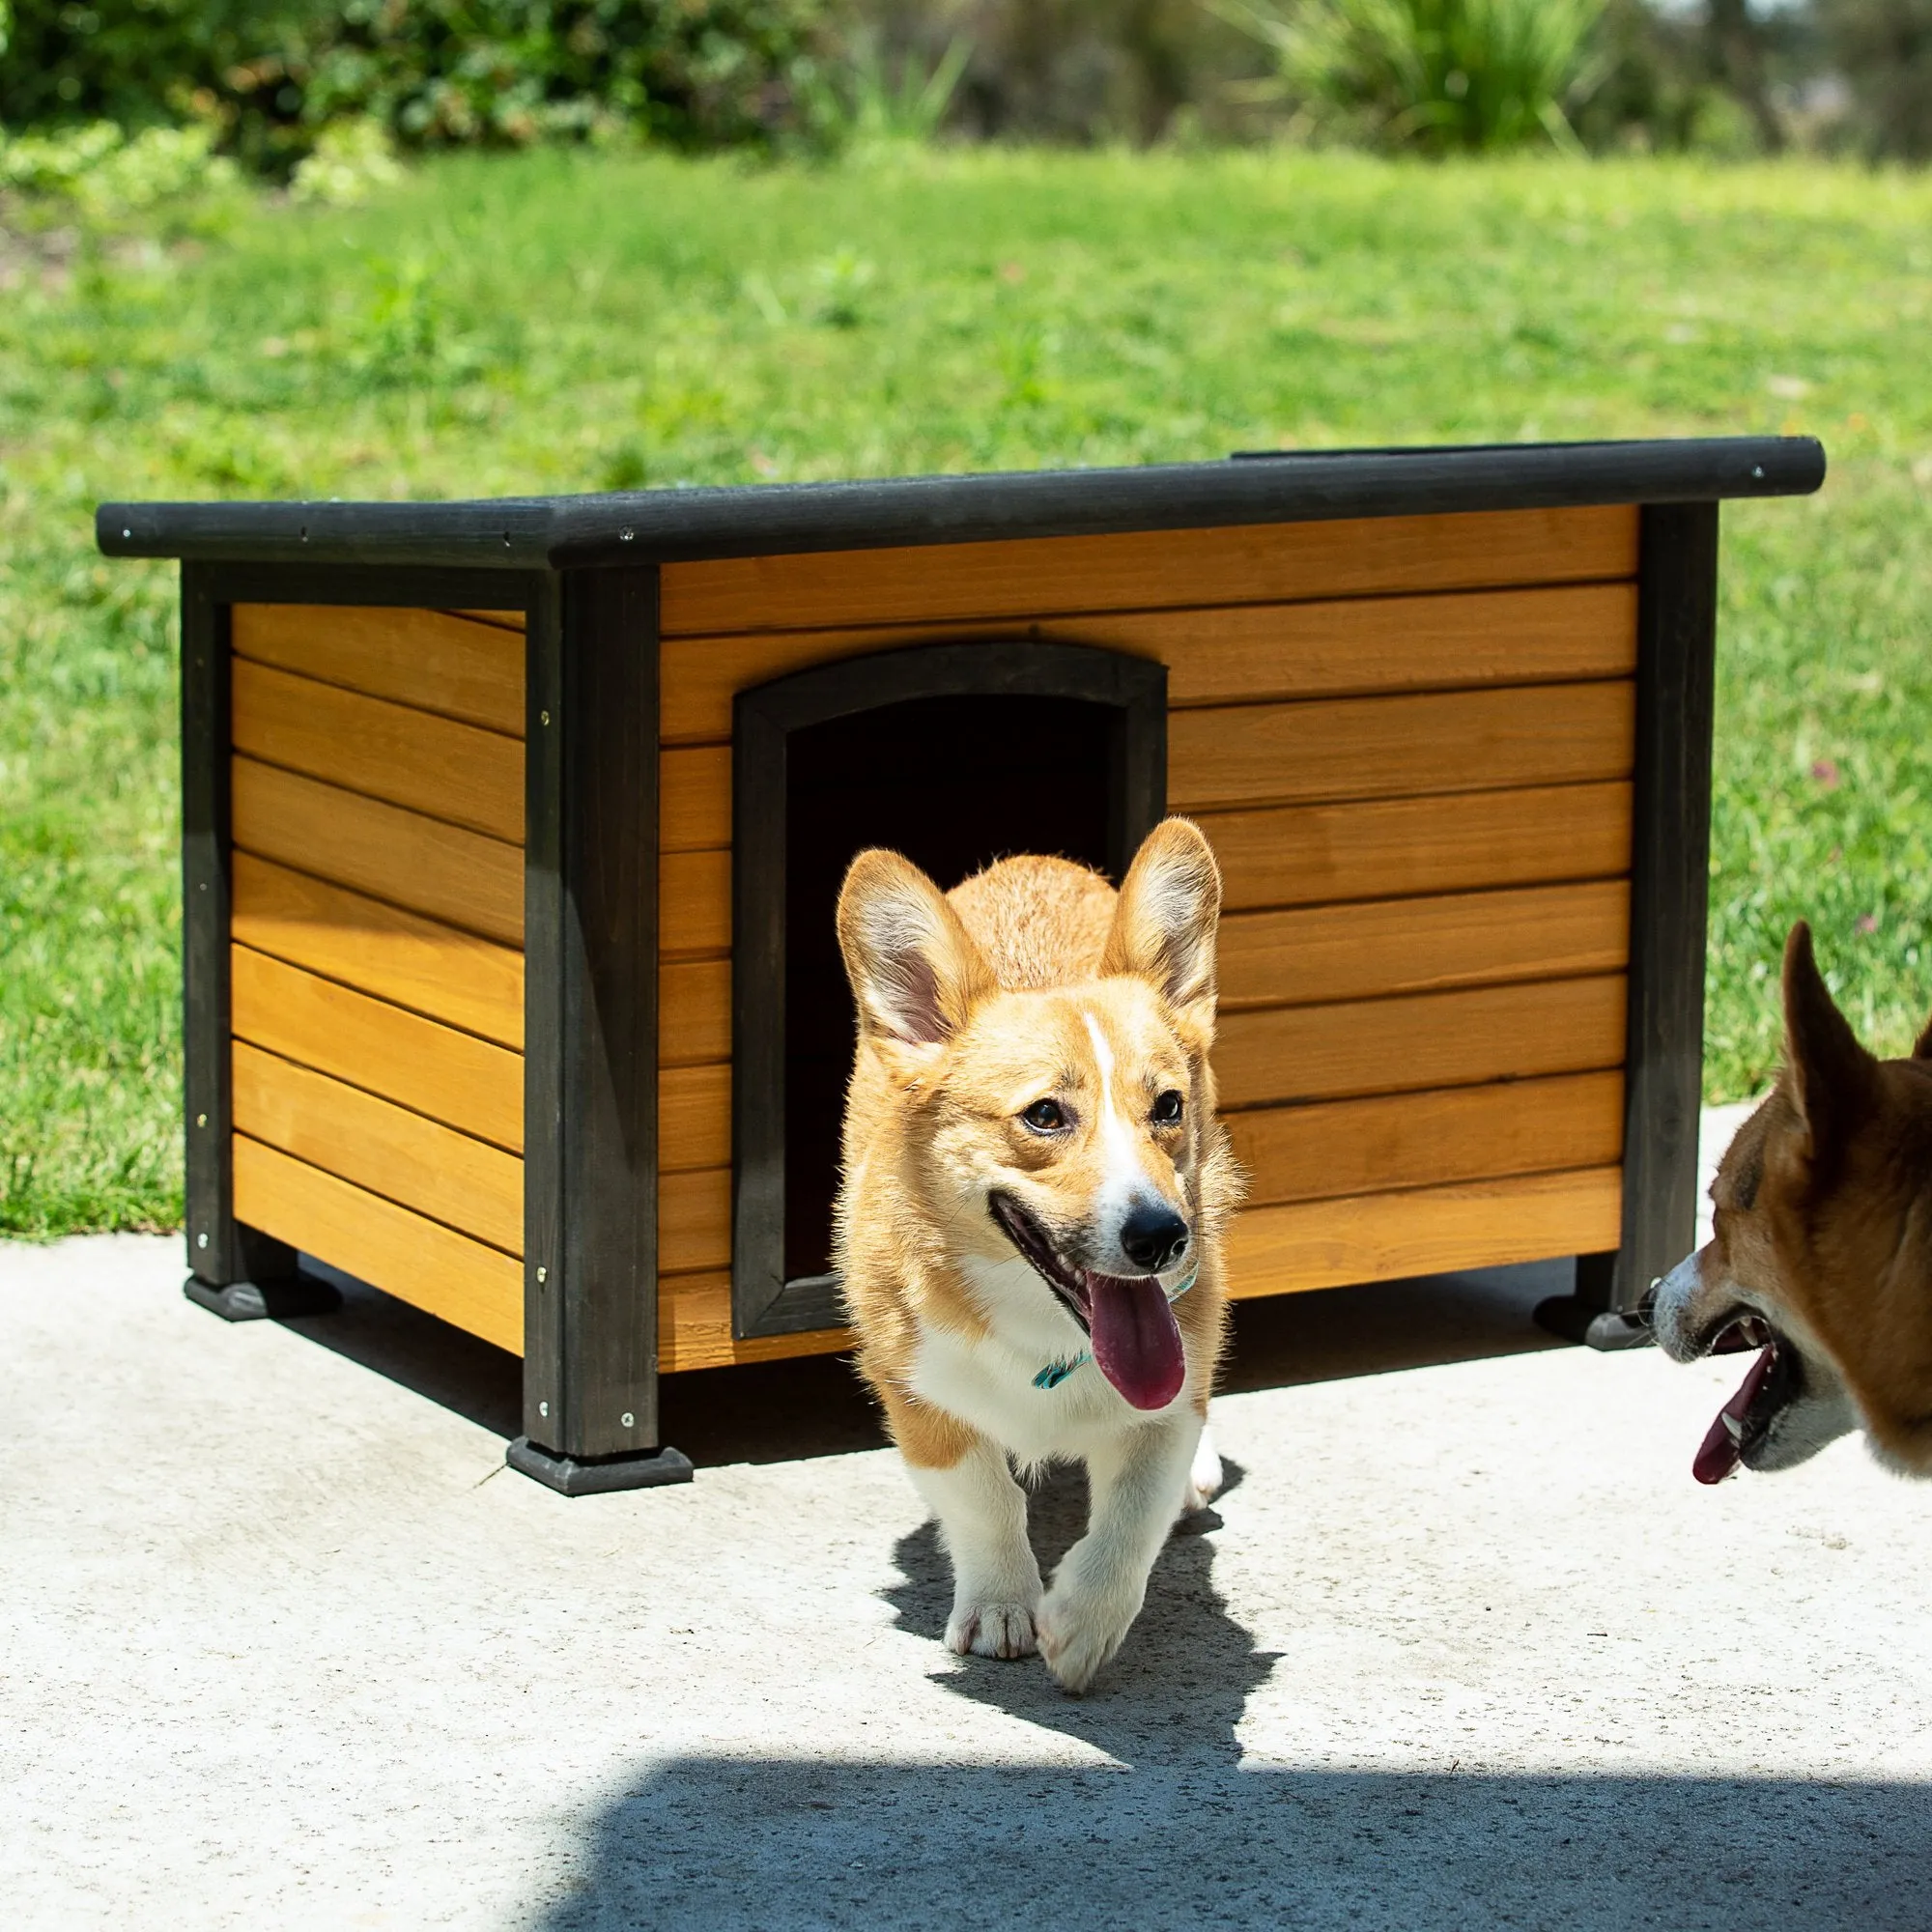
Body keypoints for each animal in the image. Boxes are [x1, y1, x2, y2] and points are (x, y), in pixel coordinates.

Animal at [831, 815, 1236, 1692]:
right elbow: (986, 1501)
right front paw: (1001, 1609)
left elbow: (1133, 1511)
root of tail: (1036, 861)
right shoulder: (920, 1395)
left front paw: (1084, 1624)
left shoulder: (1164, 1405)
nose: (1162, 1237)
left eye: (1167, 1107)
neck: (1044, 1329)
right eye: (1045, 1115)